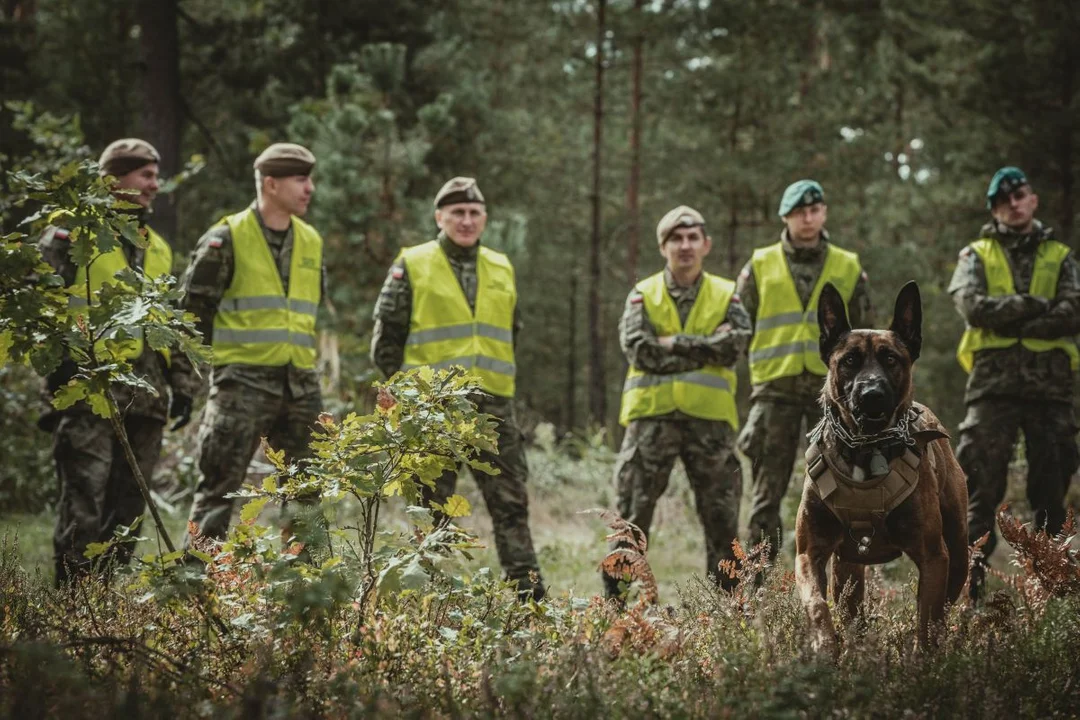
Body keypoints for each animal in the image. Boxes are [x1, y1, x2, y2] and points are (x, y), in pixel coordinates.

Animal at [794, 280, 972, 651]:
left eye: (891, 359)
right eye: (849, 360)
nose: (871, 395)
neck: (865, 448)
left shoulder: (934, 556)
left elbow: (927, 619)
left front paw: (923, 657)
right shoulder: (808, 552)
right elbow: (816, 604)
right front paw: (824, 646)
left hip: (958, 549)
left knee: (945, 603)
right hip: (847, 567)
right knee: (850, 608)